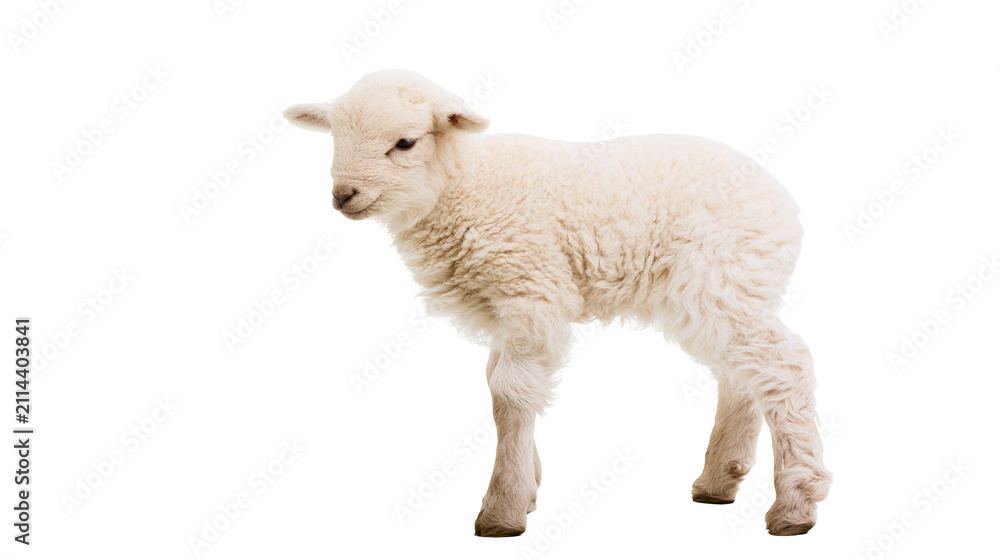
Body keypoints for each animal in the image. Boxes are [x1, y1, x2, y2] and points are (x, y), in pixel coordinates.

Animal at [284, 69, 831, 537]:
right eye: (334, 137)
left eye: (405, 143)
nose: (344, 194)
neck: (464, 184)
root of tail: (787, 204)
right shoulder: (504, 308)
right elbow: (500, 386)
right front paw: (528, 486)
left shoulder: (529, 290)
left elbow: (509, 395)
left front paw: (502, 508)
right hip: (730, 290)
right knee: (742, 373)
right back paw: (720, 480)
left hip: (723, 275)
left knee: (783, 365)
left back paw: (795, 505)